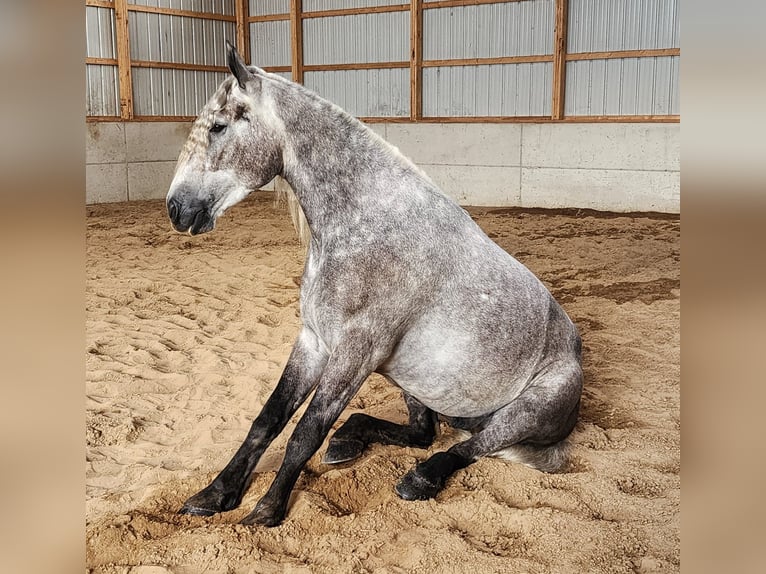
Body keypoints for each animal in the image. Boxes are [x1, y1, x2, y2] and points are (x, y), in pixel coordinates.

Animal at [165, 43, 583, 527]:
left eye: (218, 125)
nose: (176, 209)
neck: (365, 223)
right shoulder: (313, 342)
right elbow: (267, 420)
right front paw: (216, 494)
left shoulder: (356, 352)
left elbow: (305, 431)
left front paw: (266, 510)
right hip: (413, 380)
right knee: (423, 432)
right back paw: (351, 439)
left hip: (526, 410)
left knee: (467, 447)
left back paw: (420, 478)